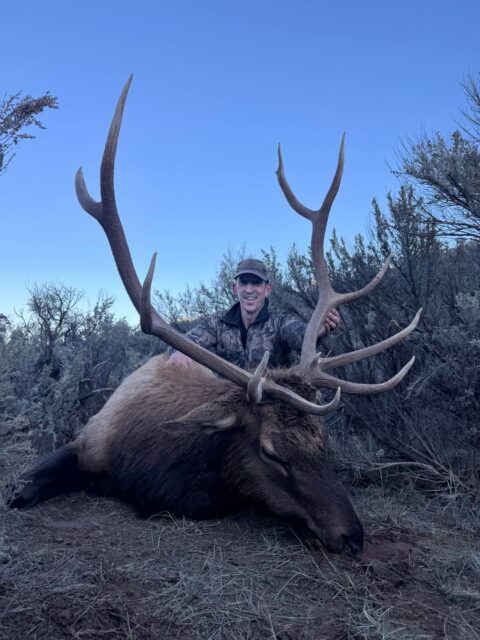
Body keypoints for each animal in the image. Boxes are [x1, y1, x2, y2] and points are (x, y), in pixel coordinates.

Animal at [9, 76, 421, 554]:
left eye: (324, 443)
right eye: (272, 452)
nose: (353, 536)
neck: (147, 469)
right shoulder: (86, 438)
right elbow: (24, 484)